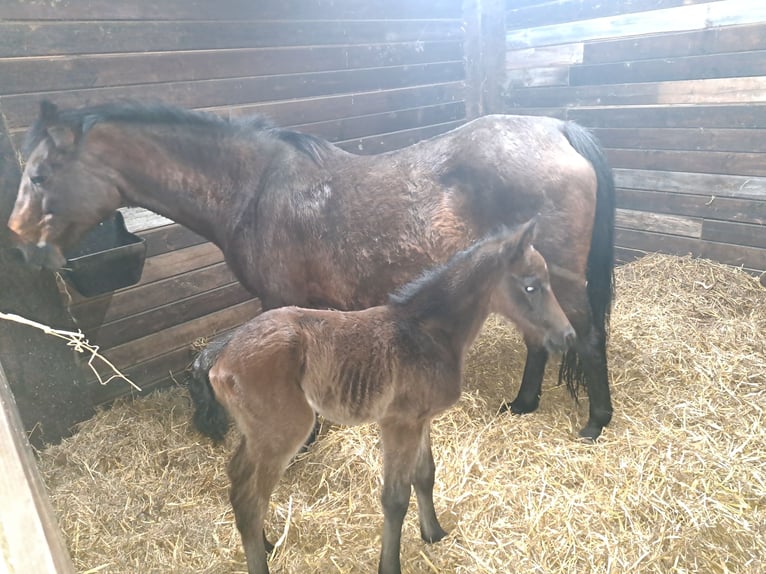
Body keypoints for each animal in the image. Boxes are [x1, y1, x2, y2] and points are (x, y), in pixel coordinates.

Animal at [7, 100, 615, 440]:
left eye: (39, 175)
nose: (19, 242)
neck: (254, 189)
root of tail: (558, 130)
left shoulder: (277, 302)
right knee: (541, 340)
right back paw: (523, 404)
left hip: (558, 281)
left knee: (585, 337)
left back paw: (595, 422)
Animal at [206, 220, 574, 574]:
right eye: (531, 286)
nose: (567, 336)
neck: (429, 332)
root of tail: (220, 361)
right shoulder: (399, 423)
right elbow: (395, 498)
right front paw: (391, 564)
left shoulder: (421, 419)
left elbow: (425, 475)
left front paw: (434, 533)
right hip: (285, 431)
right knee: (252, 500)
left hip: (257, 433)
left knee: (238, 480)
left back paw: (266, 543)